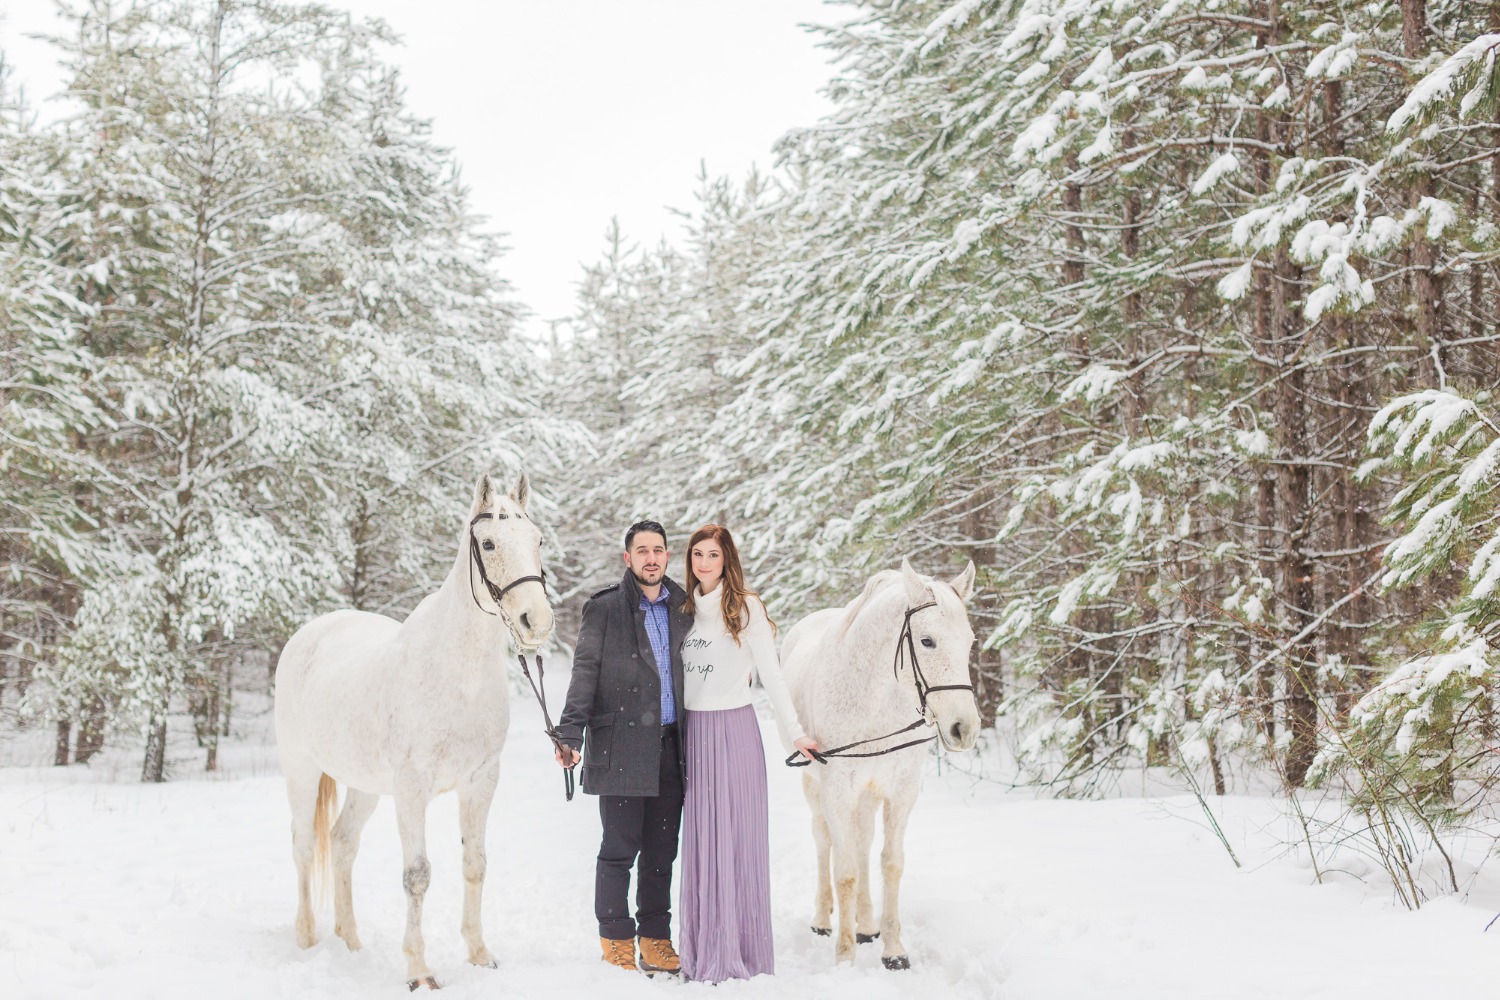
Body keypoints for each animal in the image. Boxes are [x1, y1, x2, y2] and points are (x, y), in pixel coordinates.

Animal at [274, 473, 552, 989]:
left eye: (538, 539)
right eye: (489, 542)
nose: (536, 621)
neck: (456, 674)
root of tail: (309, 633)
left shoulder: (481, 781)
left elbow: (475, 864)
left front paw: (480, 954)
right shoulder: (410, 789)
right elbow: (417, 876)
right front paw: (420, 971)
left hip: (365, 786)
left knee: (341, 844)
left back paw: (351, 942)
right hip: (301, 771)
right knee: (304, 845)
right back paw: (305, 939)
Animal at [786, 554, 984, 971]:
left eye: (970, 642)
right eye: (927, 641)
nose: (964, 729)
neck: (874, 698)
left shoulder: (901, 789)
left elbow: (890, 863)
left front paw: (894, 950)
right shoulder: (838, 789)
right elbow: (844, 870)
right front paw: (844, 957)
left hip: (869, 792)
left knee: (863, 843)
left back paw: (866, 925)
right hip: (814, 787)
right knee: (823, 841)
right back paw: (823, 920)